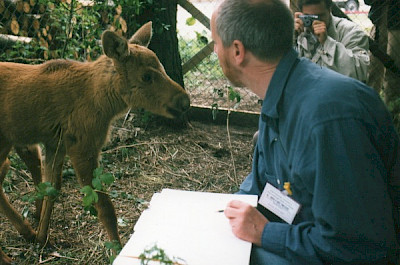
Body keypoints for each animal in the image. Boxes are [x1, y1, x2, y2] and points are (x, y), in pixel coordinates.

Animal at [0, 21, 190, 262]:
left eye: (163, 68)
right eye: (146, 76)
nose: (185, 101)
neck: (101, 102)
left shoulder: (56, 144)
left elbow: (50, 189)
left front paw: (42, 238)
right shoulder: (82, 146)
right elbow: (104, 207)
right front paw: (117, 249)